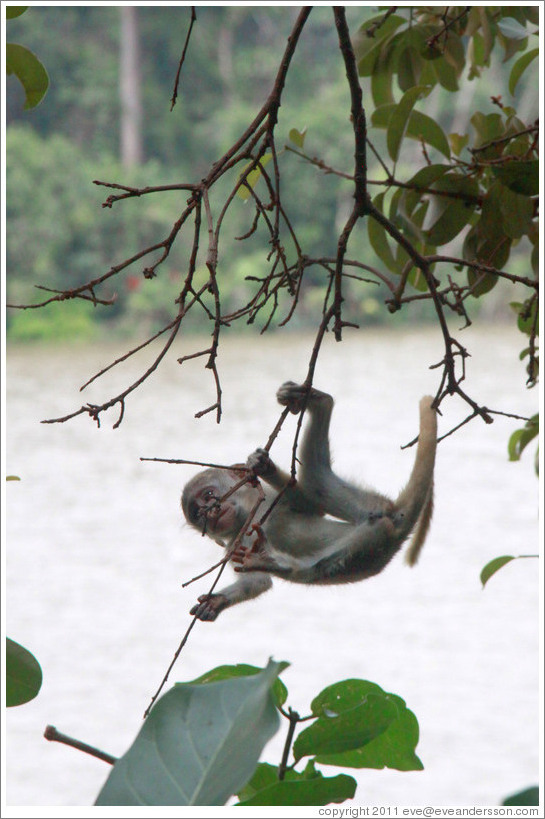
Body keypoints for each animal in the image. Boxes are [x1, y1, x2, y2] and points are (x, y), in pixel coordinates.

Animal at [181, 382, 436, 620]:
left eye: (209, 495)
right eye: (198, 514)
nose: (210, 512)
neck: (248, 517)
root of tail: (398, 522)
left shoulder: (268, 502)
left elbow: (310, 505)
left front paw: (262, 466)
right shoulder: (235, 542)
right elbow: (256, 583)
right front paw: (219, 601)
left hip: (373, 510)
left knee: (317, 485)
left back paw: (317, 401)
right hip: (375, 541)